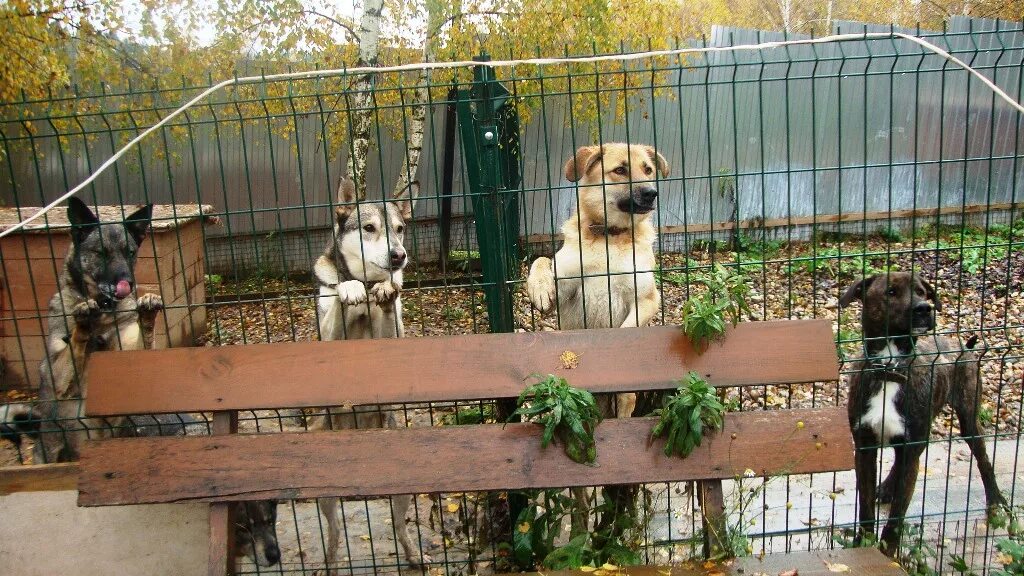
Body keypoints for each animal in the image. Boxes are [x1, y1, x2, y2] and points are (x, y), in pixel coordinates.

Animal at [309, 178, 425, 569]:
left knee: (399, 525)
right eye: (369, 228)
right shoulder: (328, 336)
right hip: (323, 496)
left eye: (400, 229)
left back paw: (414, 554)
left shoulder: (391, 335)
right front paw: (349, 289)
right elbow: (340, 299)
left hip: (403, 489)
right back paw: (329, 564)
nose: (399, 256)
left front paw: (386, 289)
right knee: (334, 534)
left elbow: (387, 300)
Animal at [843, 270, 1003, 553]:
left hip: (969, 420)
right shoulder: (864, 447)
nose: (924, 309)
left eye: (921, 291)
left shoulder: (912, 445)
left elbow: (897, 516)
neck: (890, 369)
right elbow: (865, 508)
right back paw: (887, 488)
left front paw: (888, 552)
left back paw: (995, 500)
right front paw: (863, 544)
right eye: (891, 292)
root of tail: (965, 346)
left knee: (984, 460)